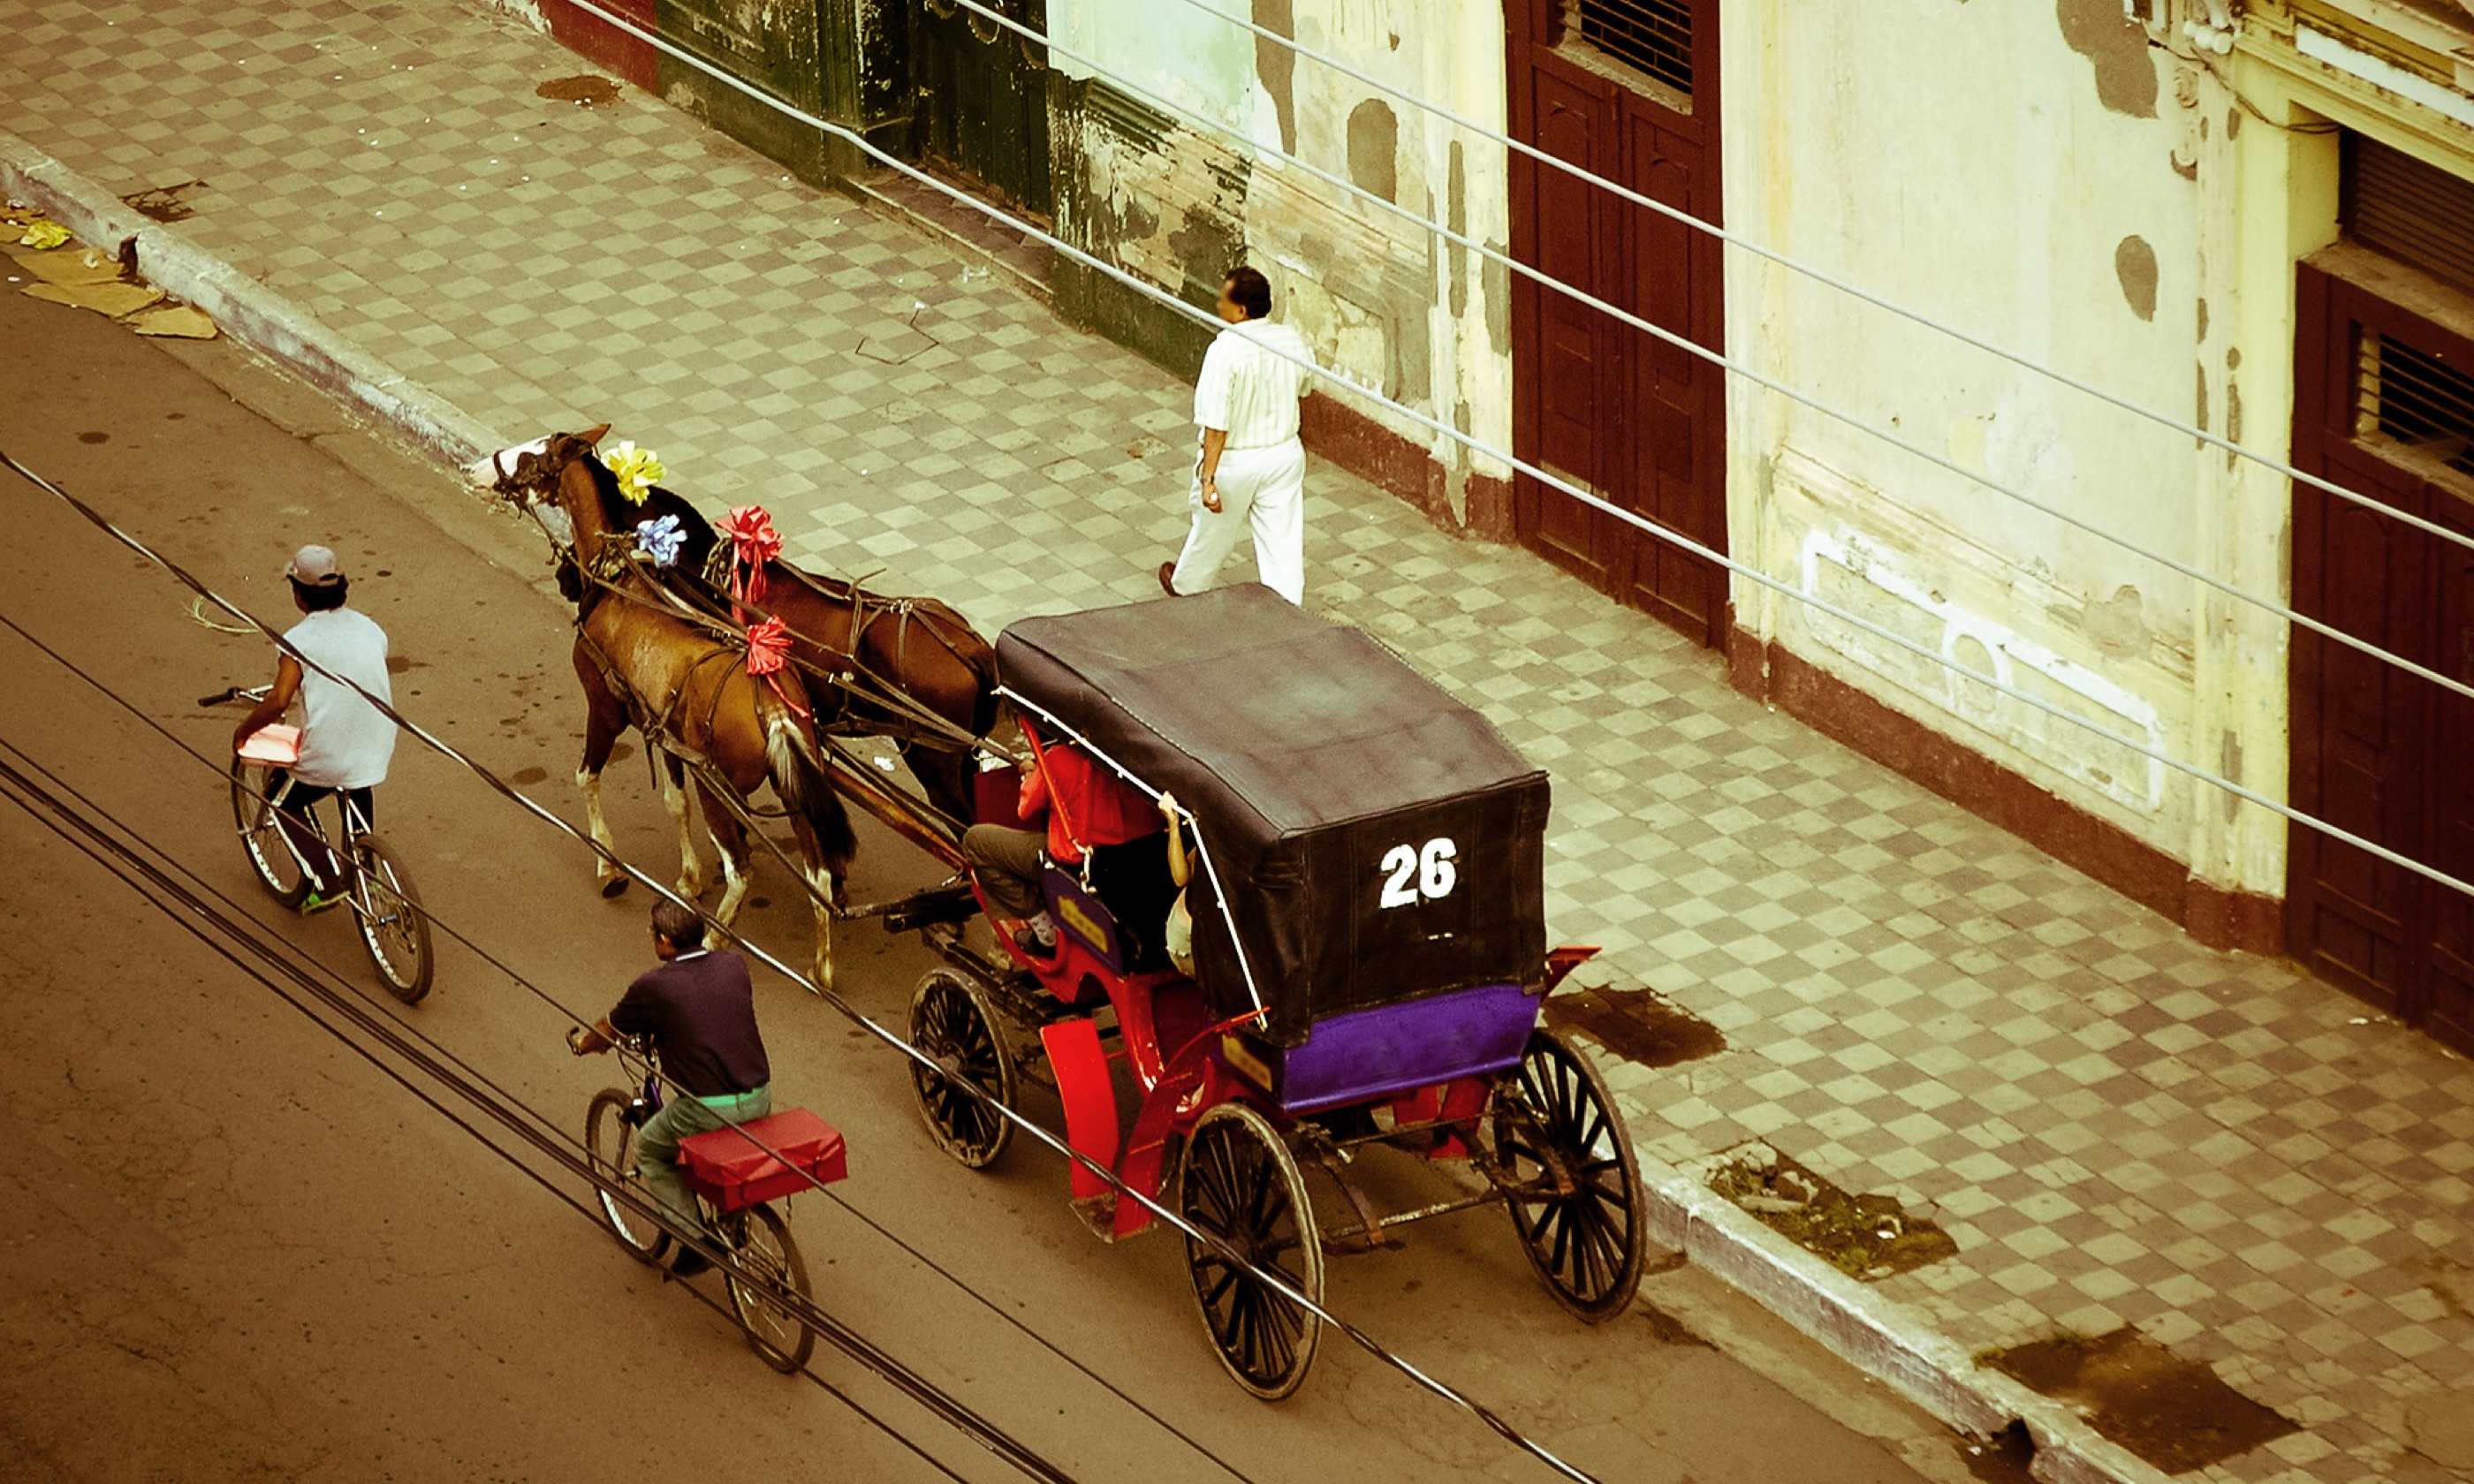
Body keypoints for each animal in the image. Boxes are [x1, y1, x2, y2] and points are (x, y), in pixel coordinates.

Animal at [470, 425, 861, 984]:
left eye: (531, 456)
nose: (479, 469)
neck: (618, 580)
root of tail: (773, 705)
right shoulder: (666, 735)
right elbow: (675, 804)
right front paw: (689, 877)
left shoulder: (606, 710)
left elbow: (586, 777)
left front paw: (608, 866)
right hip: (793, 792)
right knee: (820, 875)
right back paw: (822, 967)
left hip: (721, 790)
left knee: (740, 870)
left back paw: (715, 939)